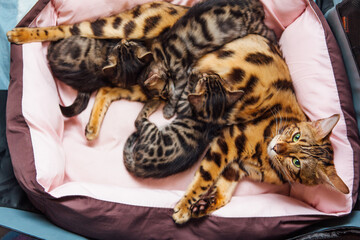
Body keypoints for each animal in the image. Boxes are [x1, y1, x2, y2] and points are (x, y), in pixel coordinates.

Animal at [172, 34, 348, 225]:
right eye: (296, 136)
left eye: (296, 162)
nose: (276, 147)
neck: (266, 162)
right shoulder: (229, 139)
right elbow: (206, 175)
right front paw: (184, 207)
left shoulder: (237, 167)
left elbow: (224, 192)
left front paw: (202, 206)